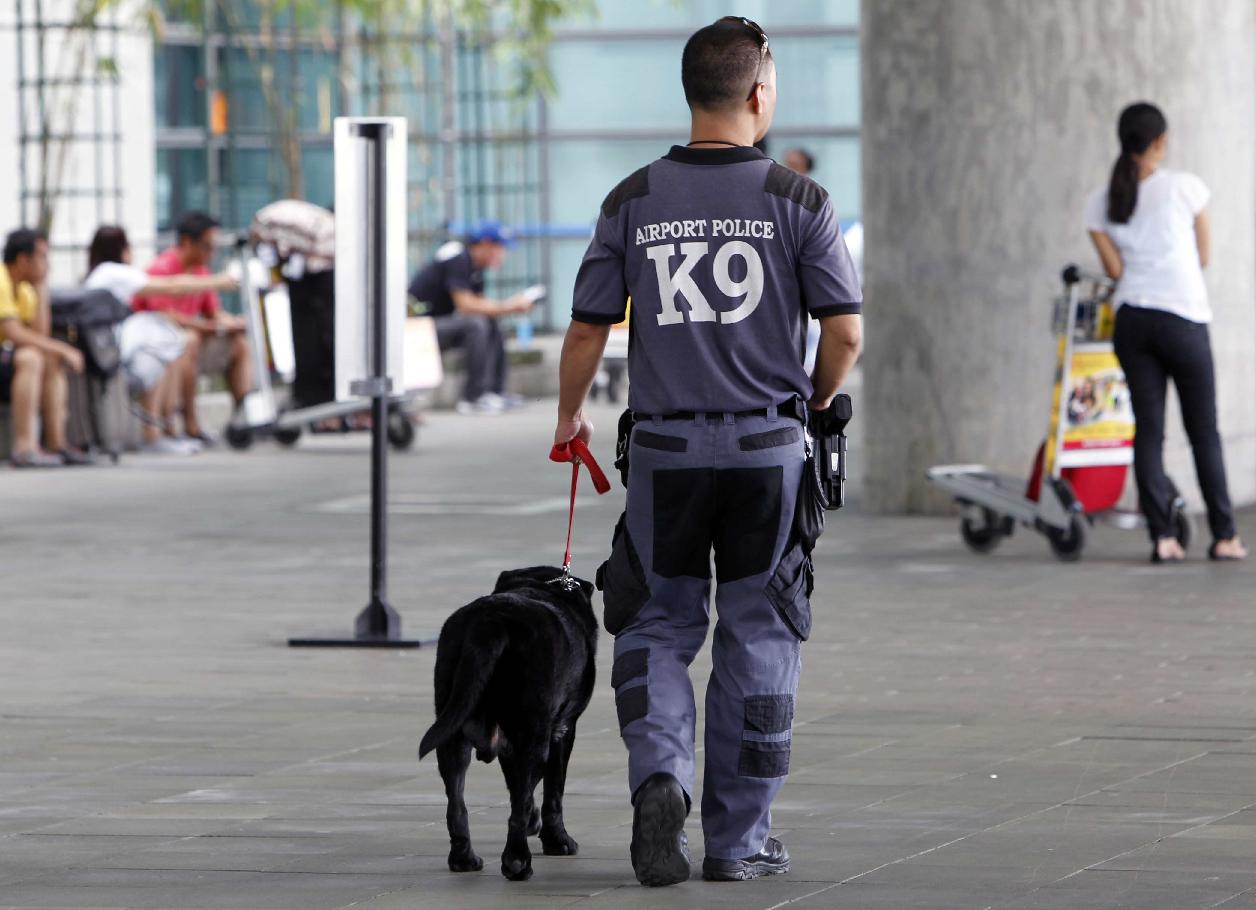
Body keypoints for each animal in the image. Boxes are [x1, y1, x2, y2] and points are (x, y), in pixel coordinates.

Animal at [416, 564, 597, 878]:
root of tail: (490, 624)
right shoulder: (563, 730)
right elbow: (552, 789)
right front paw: (557, 840)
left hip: (452, 730)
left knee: (457, 803)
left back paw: (464, 858)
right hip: (533, 735)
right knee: (520, 802)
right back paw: (517, 861)